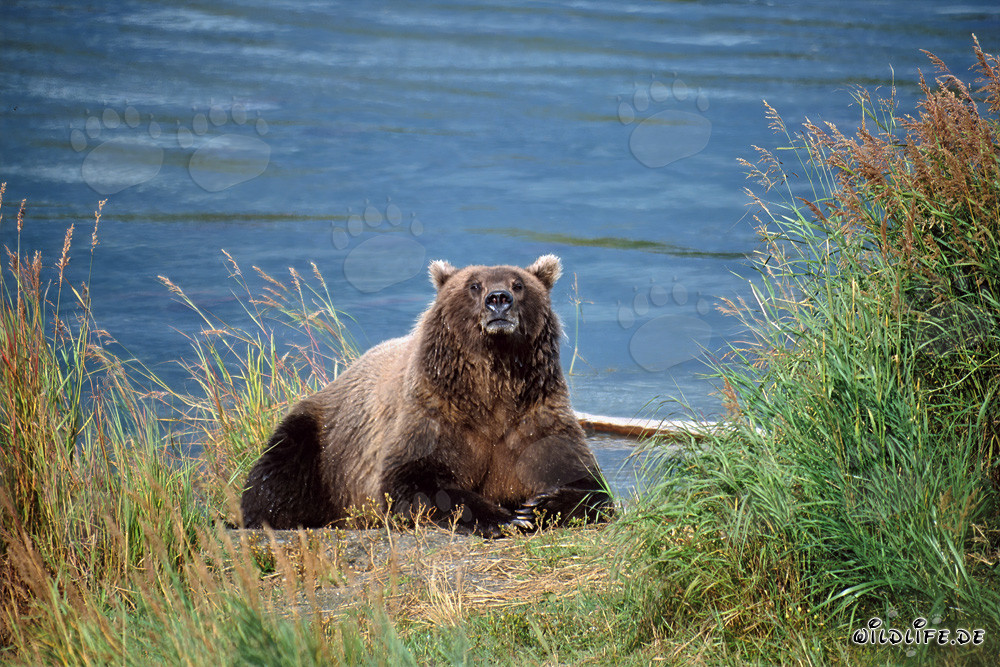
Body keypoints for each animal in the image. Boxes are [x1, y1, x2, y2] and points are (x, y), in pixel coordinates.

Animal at [239, 254, 613, 537]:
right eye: (473, 285)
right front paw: (499, 517)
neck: (493, 386)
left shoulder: (534, 415)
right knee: (279, 471)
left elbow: (586, 482)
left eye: (518, 284)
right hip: (323, 439)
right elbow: (414, 480)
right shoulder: (435, 413)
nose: (498, 299)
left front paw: (539, 507)